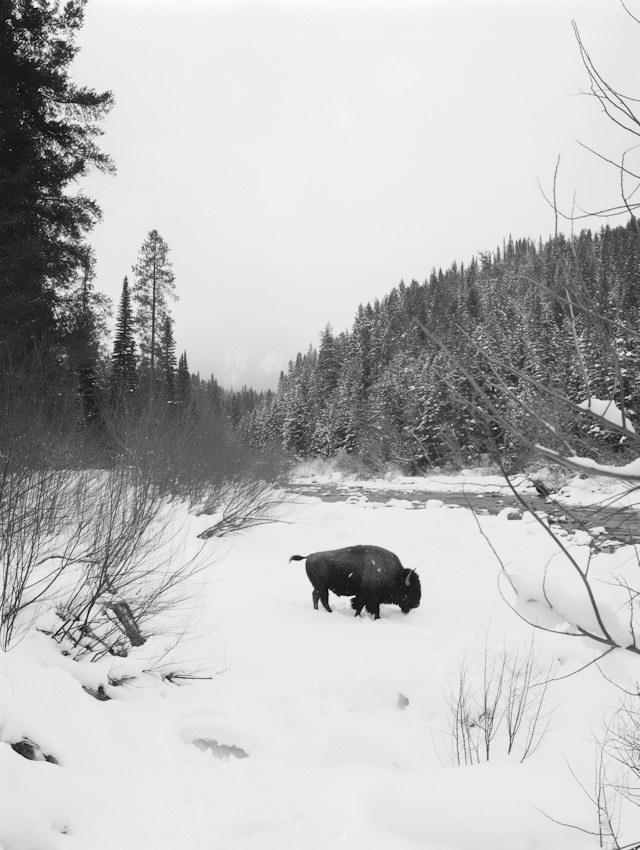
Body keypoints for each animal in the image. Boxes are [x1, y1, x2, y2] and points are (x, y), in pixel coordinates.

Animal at [288, 544, 420, 616]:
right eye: (409, 590)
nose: (416, 604)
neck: (394, 576)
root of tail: (309, 556)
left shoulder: (372, 598)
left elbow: (371, 609)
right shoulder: (366, 597)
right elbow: (362, 607)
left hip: (320, 587)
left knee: (316, 596)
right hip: (322, 587)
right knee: (323, 599)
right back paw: (330, 613)